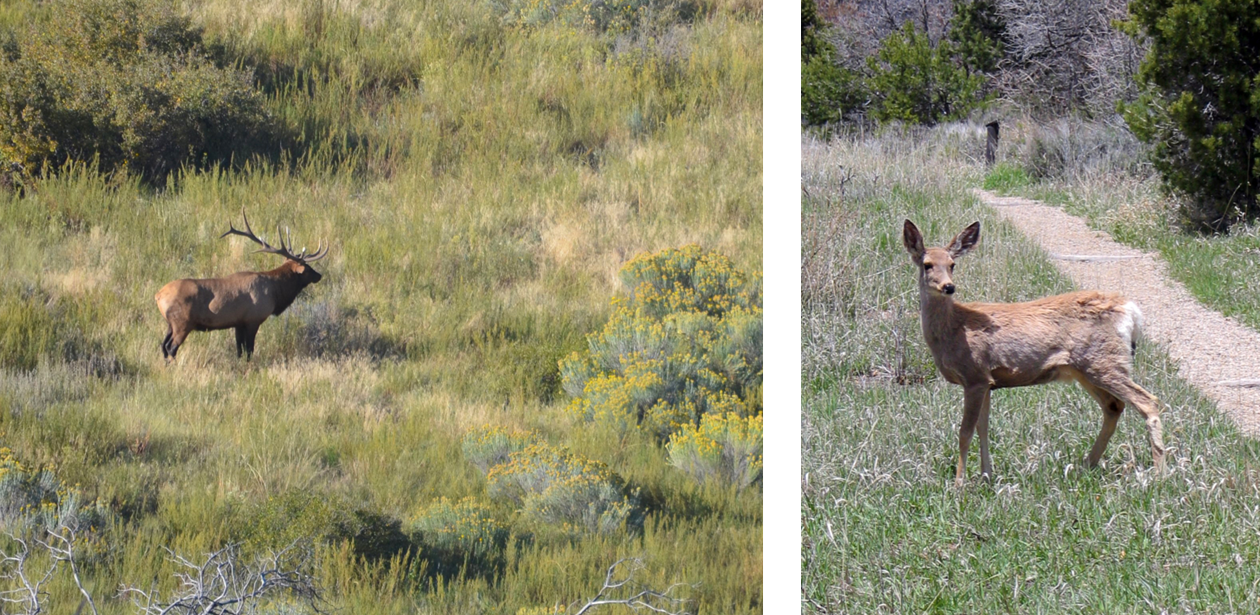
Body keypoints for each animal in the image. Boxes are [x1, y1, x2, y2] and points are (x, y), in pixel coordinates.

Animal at [155, 210, 328, 362]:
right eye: (307, 268)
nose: (319, 275)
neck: (275, 292)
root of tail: (158, 295)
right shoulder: (253, 319)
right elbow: (249, 350)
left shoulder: (238, 322)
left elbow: (239, 350)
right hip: (182, 322)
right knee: (171, 348)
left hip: (170, 324)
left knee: (163, 346)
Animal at [902, 219, 1166, 487]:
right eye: (927, 264)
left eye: (952, 264)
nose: (948, 287)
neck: (955, 329)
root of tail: (1132, 312)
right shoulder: (987, 381)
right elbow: (982, 428)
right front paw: (986, 477)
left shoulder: (974, 375)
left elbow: (965, 432)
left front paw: (959, 485)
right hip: (1086, 369)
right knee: (1114, 406)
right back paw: (1086, 465)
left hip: (1105, 361)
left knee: (1148, 402)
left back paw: (1158, 474)